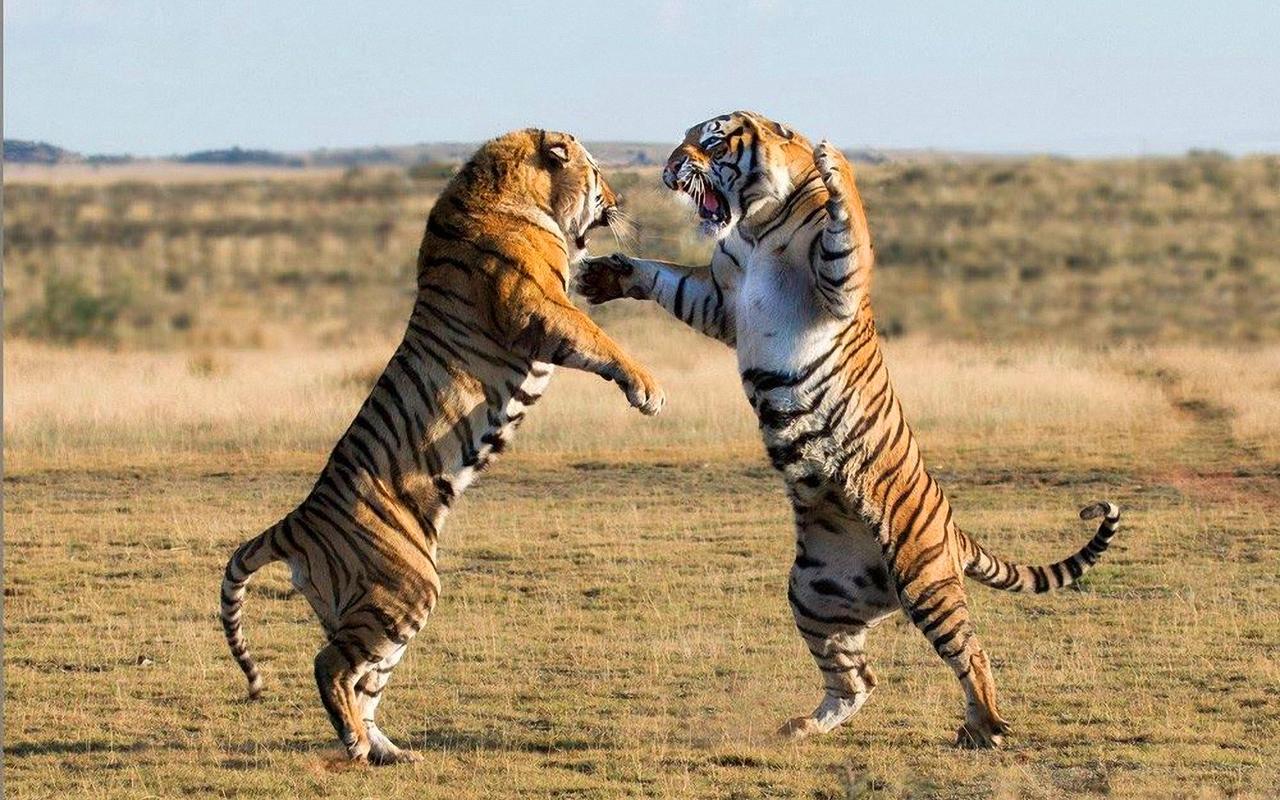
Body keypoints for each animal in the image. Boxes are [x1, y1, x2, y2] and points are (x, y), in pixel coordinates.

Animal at [221, 128, 664, 765]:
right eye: (598, 173)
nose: (621, 197)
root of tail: (298, 519)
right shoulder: (536, 308)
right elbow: (600, 339)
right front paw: (647, 389)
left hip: (377, 609)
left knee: (365, 682)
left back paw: (386, 750)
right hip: (407, 589)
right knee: (330, 666)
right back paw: (356, 745)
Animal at [576, 110, 1121, 748]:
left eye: (710, 139)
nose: (667, 166)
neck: (754, 226)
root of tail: (952, 528)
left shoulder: (835, 281)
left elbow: (849, 223)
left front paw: (834, 161)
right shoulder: (718, 299)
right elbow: (668, 279)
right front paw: (603, 276)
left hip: (923, 578)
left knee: (971, 653)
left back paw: (986, 727)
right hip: (815, 593)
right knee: (858, 679)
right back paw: (804, 726)